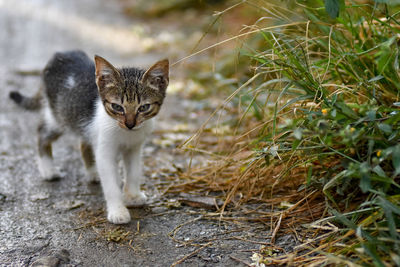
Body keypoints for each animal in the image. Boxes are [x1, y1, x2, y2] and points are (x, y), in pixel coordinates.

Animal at [9, 50, 169, 224]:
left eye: (144, 107)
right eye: (117, 107)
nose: (130, 124)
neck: (125, 133)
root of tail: (60, 54)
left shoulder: (134, 147)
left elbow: (133, 172)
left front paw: (132, 196)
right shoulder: (105, 149)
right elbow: (111, 184)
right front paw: (118, 211)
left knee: (84, 143)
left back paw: (93, 172)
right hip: (60, 115)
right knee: (42, 131)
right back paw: (48, 169)